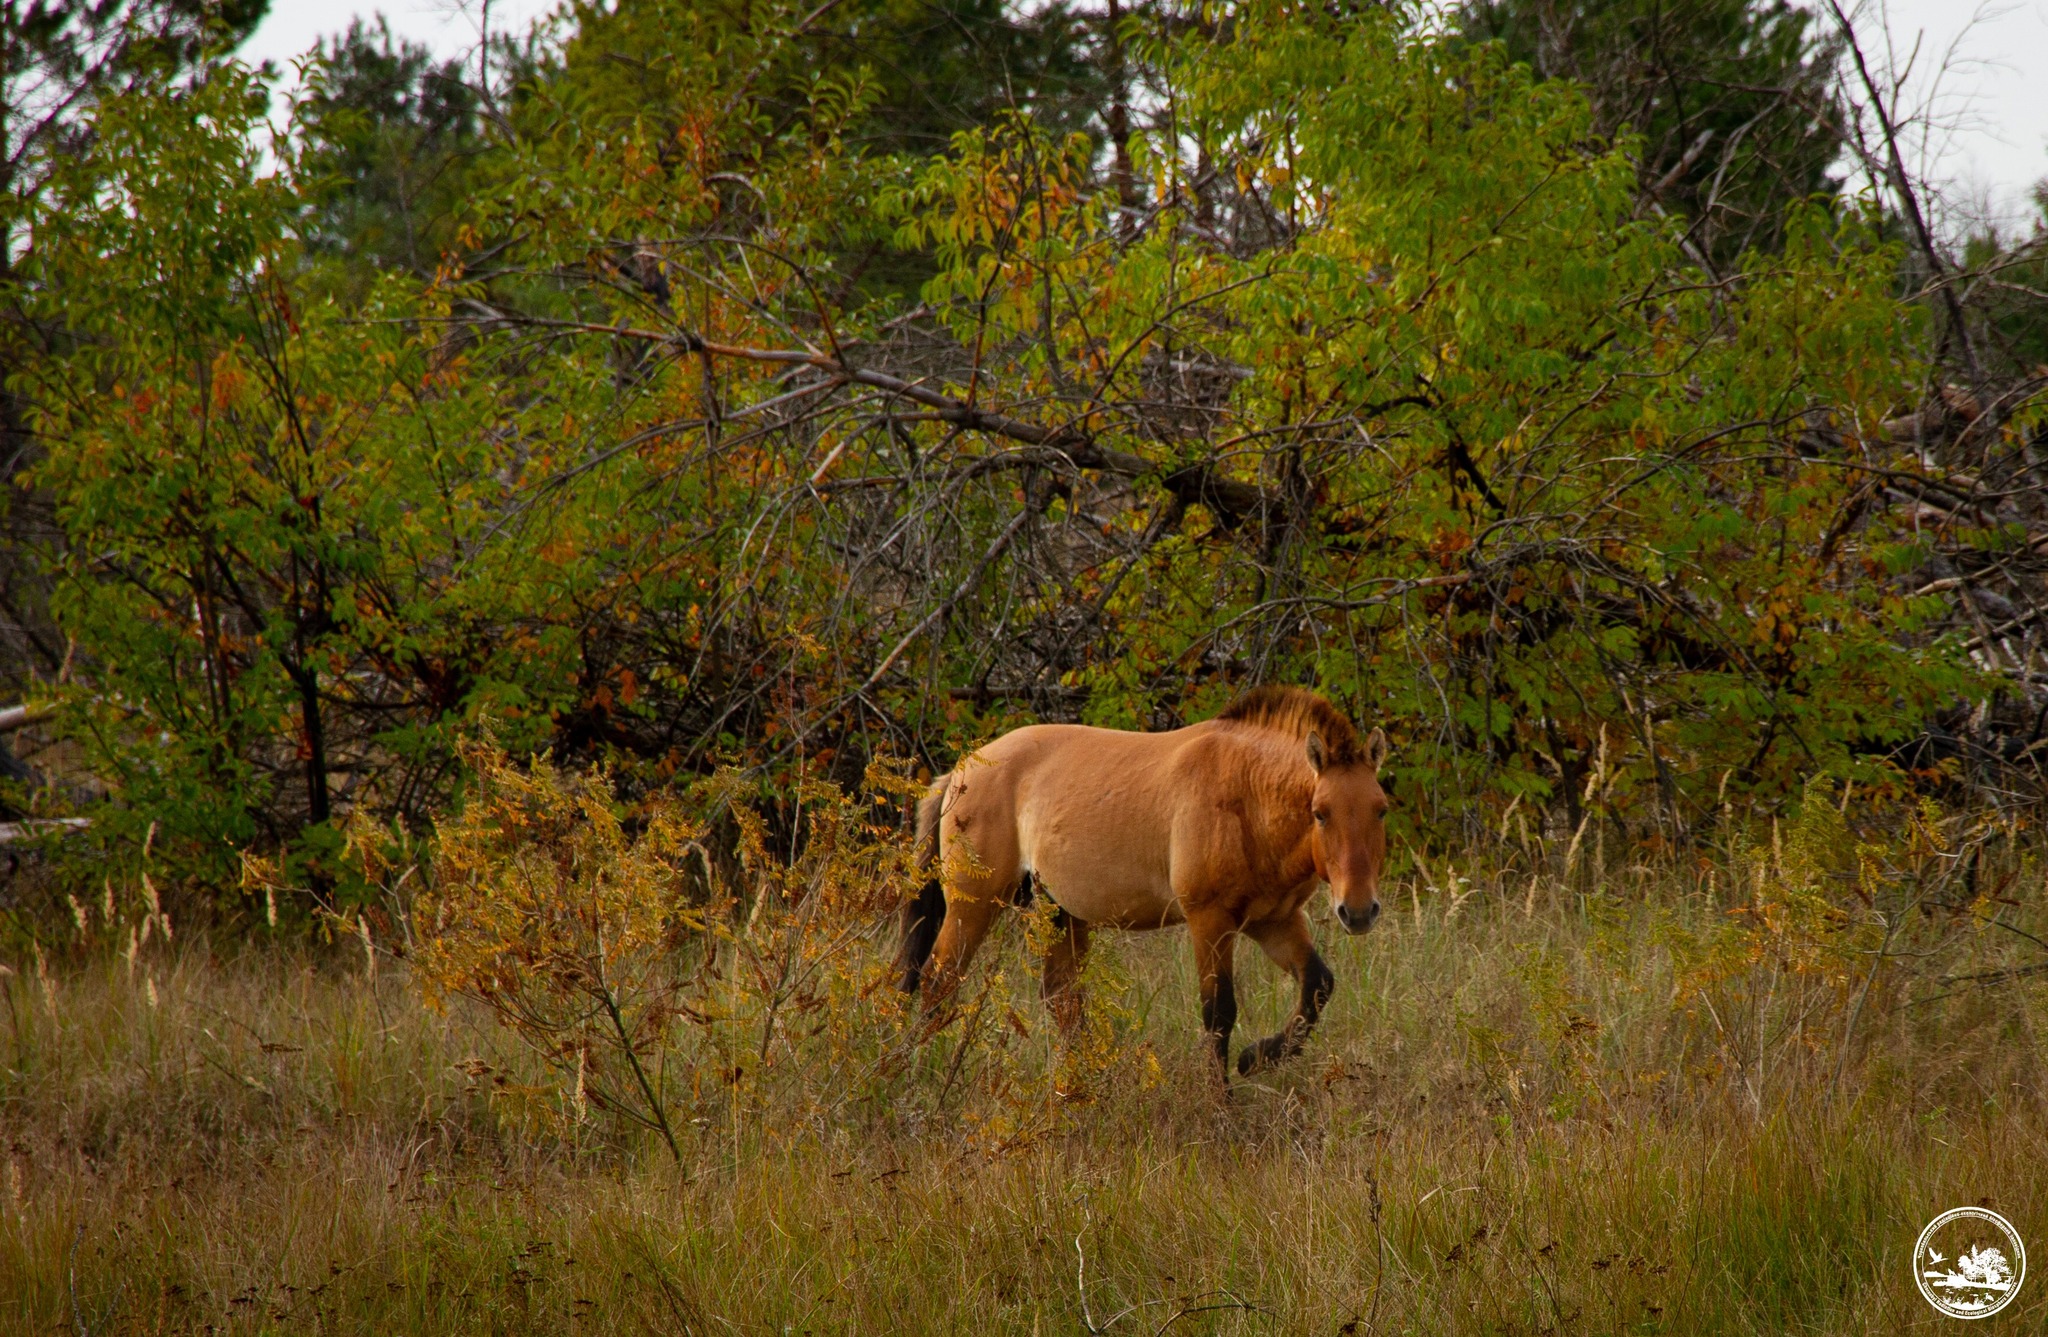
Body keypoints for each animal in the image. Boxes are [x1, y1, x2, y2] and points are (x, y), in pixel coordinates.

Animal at [897, 683, 1392, 1081]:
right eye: (1320, 813)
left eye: (1380, 809)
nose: (1358, 911)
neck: (1247, 795)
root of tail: (961, 771)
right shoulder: (1210, 922)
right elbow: (1218, 1014)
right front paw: (1220, 1105)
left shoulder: (1274, 920)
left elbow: (1317, 986)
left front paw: (1257, 1057)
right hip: (975, 905)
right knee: (939, 981)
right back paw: (918, 1075)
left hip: (1058, 911)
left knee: (1062, 1001)